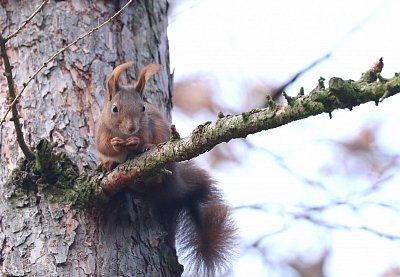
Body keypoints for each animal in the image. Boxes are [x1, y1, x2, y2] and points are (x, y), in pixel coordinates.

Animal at [95, 61, 236, 274]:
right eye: (114, 109)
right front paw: (116, 145)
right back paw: (111, 164)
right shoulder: (101, 131)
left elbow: (142, 138)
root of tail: (174, 183)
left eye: (143, 108)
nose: (131, 128)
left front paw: (138, 144)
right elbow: (103, 146)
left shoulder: (147, 127)